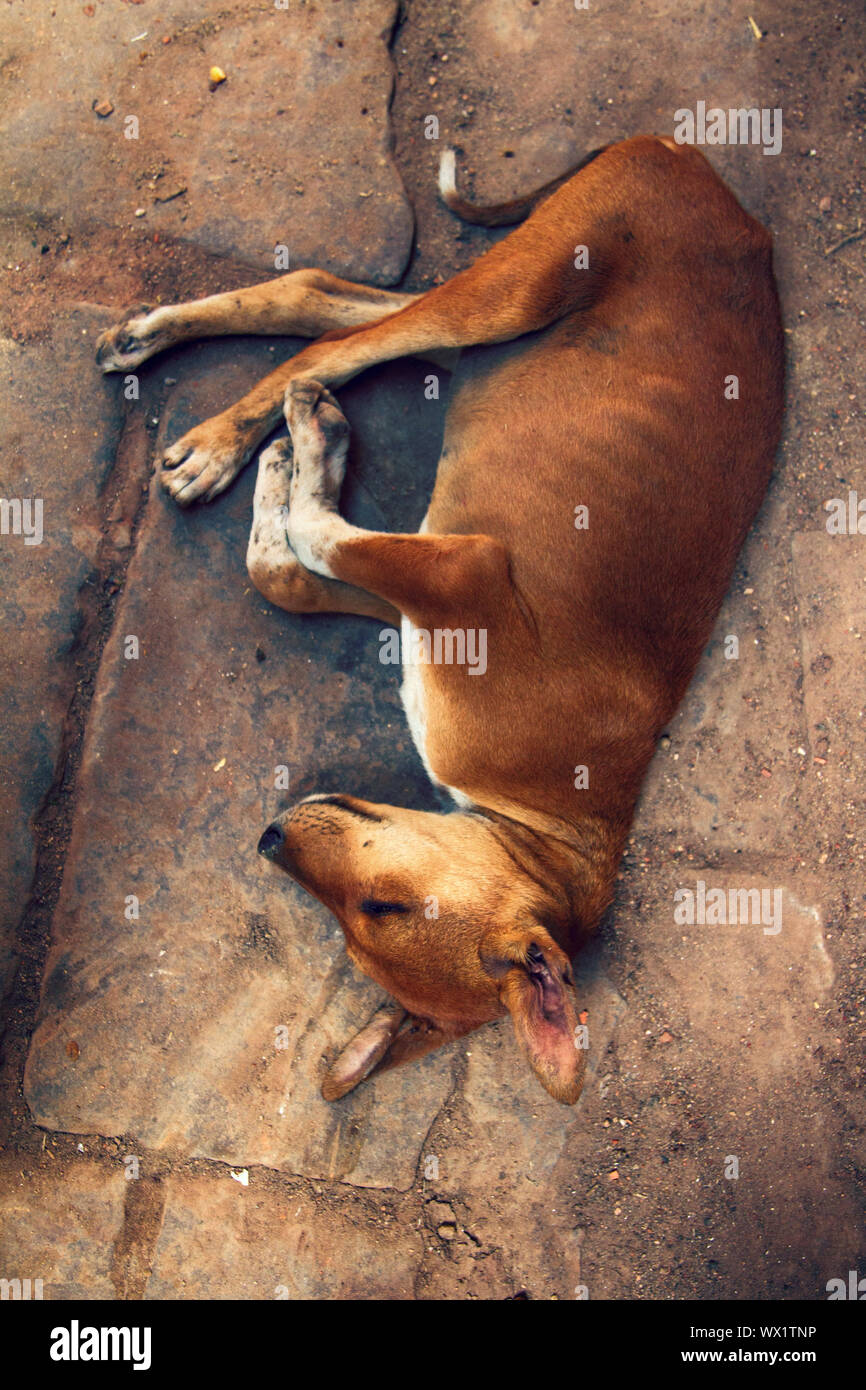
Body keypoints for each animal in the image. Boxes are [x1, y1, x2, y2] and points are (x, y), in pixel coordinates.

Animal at [96, 132, 783, 1106]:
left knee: (328, 307)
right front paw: (303, 454)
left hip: (489, 324)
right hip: (517, 289)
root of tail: (701, 170)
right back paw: (218, 432)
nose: (270, 835)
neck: (543, 822)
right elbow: (305, 539)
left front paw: (296, 471)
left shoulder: (434, 581)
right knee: (335, 336)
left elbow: (287, 561)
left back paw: (200, 381)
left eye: (369, 917)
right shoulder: (463, 570)